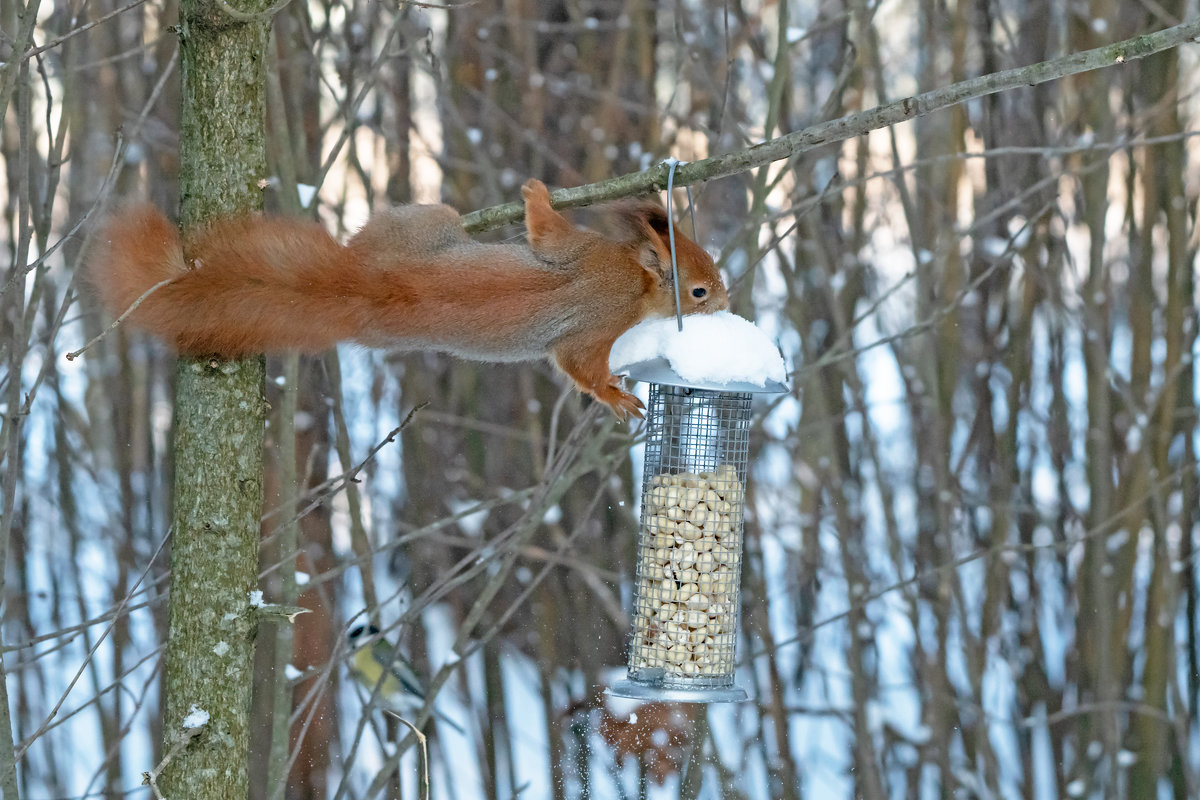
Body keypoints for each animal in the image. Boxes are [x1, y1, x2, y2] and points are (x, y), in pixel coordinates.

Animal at [88, 179, 724, 419]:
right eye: (699, 288)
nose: (724, 301)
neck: (635, 280)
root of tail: (369, 284)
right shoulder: (592, 280)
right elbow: (576, 356)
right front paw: (616, 396)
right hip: (425, 220)